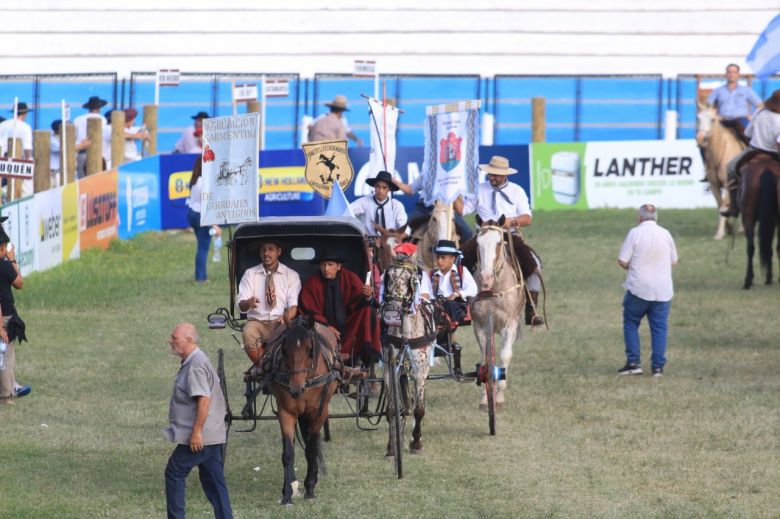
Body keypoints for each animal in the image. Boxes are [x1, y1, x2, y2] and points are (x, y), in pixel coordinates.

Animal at [266, 314, 342, 506]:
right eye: (285, 349)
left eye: (309, 349)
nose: (295, 389)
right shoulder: (286, 412)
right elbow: (288, 453)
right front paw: (287, 494)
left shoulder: (319, 412)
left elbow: (311, 449)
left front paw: (310, 488)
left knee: (311, 444)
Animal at [470, 217, 524, 408]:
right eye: (477, 243)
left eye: (499, 243)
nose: (486, 278)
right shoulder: (479, 326)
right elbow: (485, 356)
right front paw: (485, 398)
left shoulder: (510, 325)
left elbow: (505, 354)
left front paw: (499, 396)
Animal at [696, 104, 748, 242]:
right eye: (698, 118)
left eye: (713, 119)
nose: (700, 138)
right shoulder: (714, 185)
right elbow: (720, 206)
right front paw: (727, 229)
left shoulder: (728, 184)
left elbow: (724, 205)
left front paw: (719, 234)